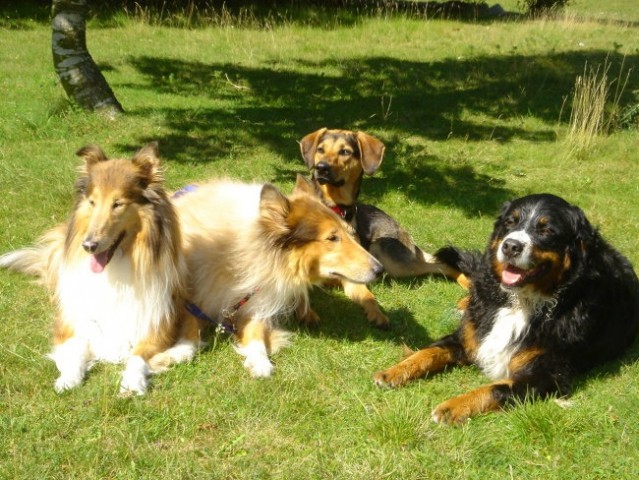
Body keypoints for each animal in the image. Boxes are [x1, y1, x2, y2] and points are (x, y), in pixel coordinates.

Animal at [0, 144, 200, 396]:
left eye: (118, 204)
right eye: (93, 202)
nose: (88, 246)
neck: (115, 267)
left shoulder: (159, 323)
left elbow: (138, 356)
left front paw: (132, 381)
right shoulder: (73, 321)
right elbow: (74, 350)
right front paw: (68, 379)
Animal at [174, 174, 384, 376]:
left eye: (350, 233)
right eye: (332, 238)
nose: (380, 270)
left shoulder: (257, 303)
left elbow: (256, 334)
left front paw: (260, 362)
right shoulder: (193, 297)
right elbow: (190, 326)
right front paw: (179, 351)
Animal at [298, 127, 468, 330]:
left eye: (345, 151)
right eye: (320, 149)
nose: (321, 168)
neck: (335, 206)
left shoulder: (353, 278)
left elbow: (368, 296)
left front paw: (377, 314)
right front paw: (307, 313)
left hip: (389, 254)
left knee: (442, 265)